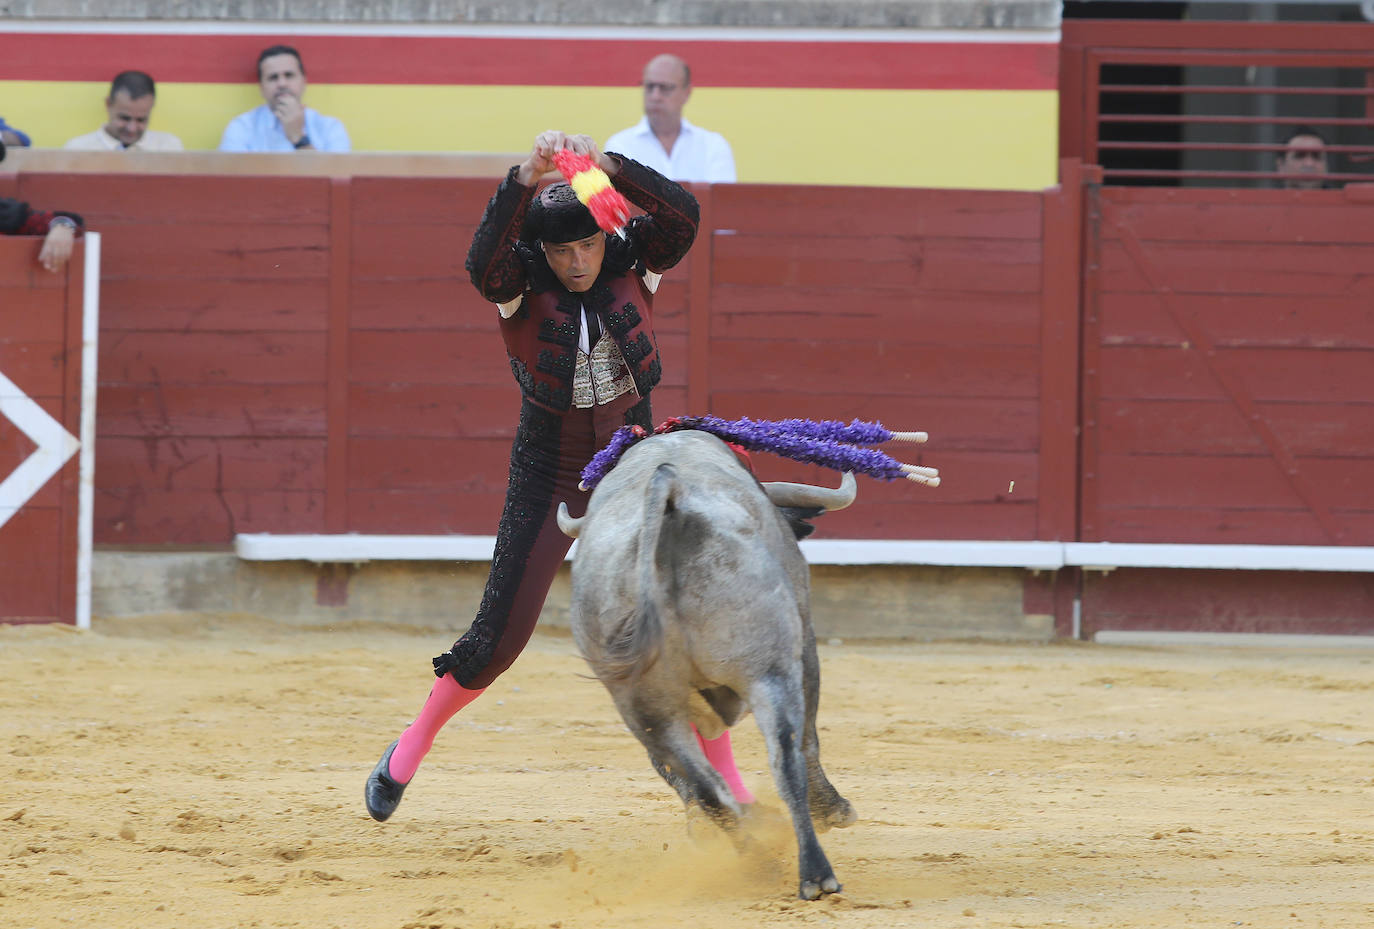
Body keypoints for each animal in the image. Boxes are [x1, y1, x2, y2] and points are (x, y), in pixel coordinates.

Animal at [557, 428, 857, 901]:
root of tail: (667, 489)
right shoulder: (804, 644)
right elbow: (808, 740)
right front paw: (833, 810)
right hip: (770, 670)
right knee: (786, 755)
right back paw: (815, 874)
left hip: (643, 707)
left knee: (704, 785)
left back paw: (758, 860)